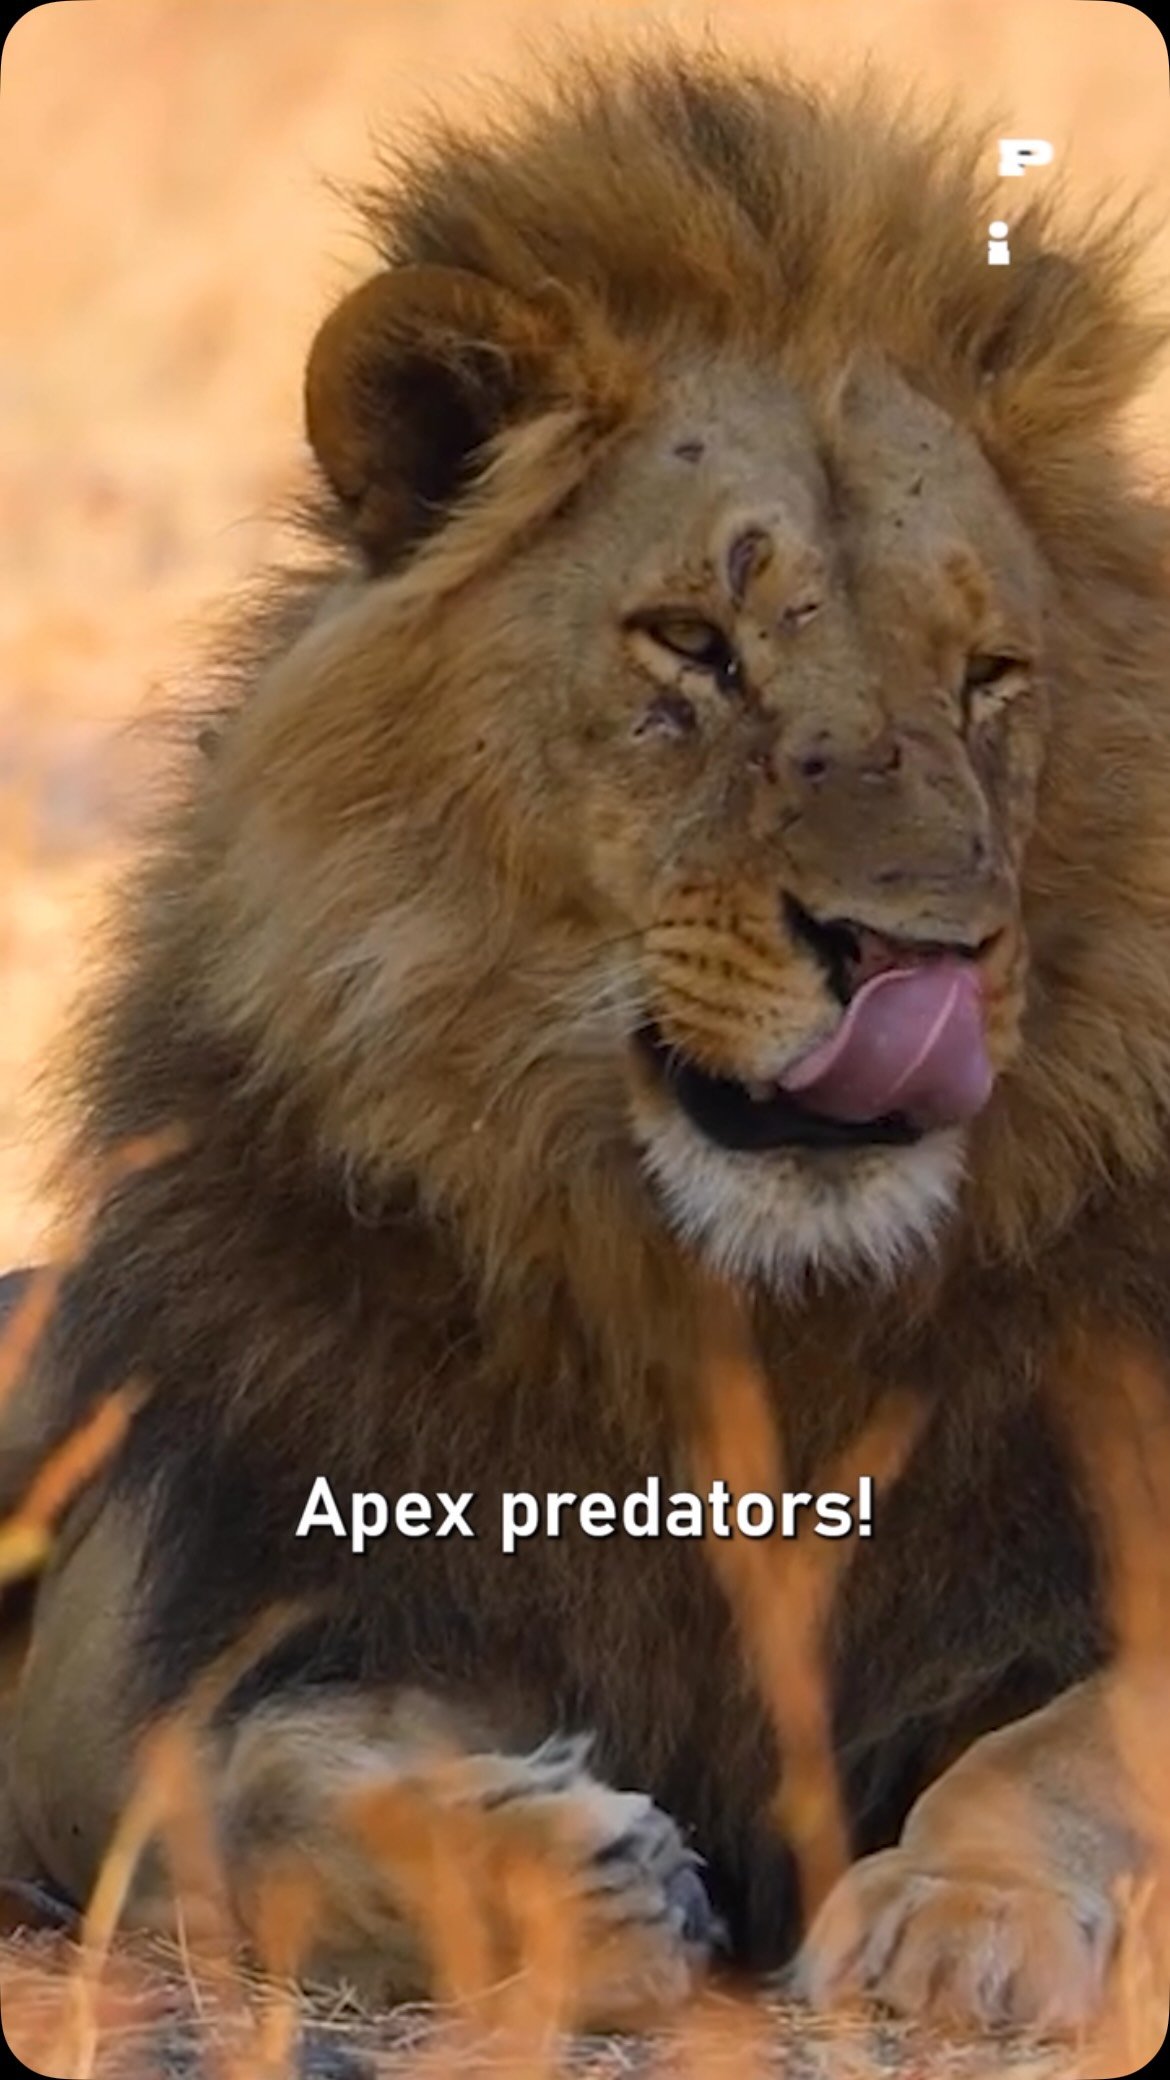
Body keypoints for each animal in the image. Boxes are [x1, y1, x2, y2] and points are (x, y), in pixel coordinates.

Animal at [2, 41, 1170, 2046]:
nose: (922, 954)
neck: (738, 1314)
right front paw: (572, 1877)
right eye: (691, 644)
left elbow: (1078, 1744)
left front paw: (957, 1918)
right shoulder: (170, 1645)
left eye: (989, 681)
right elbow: (257, 1791)